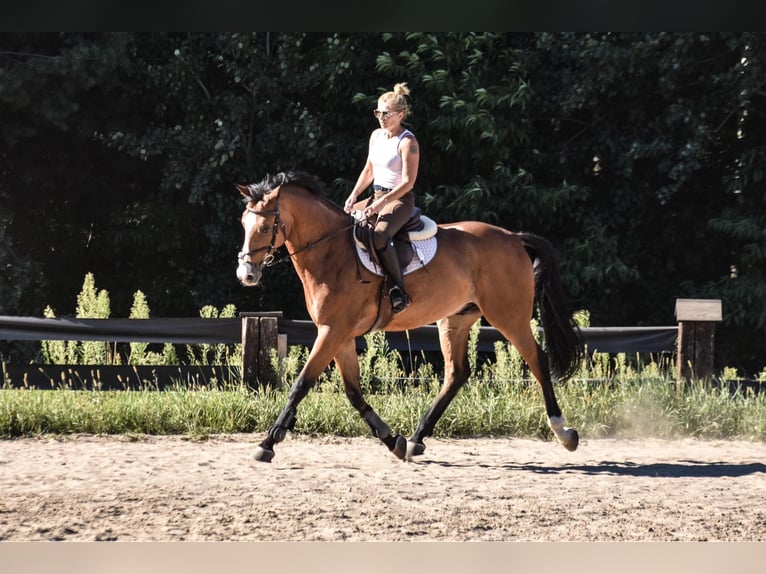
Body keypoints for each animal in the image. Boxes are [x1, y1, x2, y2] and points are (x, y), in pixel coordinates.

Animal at [234, 170, 584, 464]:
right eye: (243, 224)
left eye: (264, 228)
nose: (246, 274)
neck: (331, 253)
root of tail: (513, 237)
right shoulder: (339, 334)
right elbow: (354, 392)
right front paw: (394, 441)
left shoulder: (332, 331)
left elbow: (301, 384)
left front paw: (267, 443)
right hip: (454, 320)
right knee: (457, 374)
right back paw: (417, 439)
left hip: (508, 316)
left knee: (537, 359)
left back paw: (564, 432)